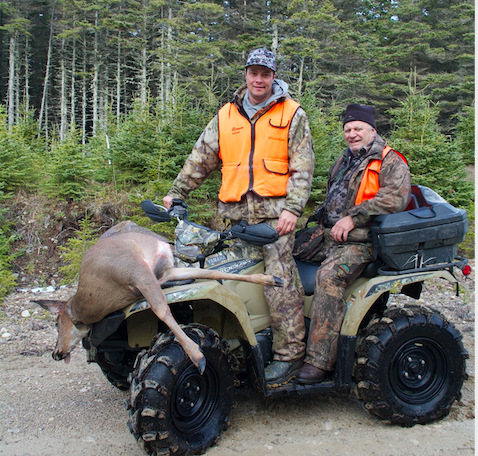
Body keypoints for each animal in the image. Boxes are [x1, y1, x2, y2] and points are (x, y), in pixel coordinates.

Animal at [33, 221, 280, 374]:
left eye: (57, 323)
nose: (56, 353)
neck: (101, 296)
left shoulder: (137, 270)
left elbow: (161, 309)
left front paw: (197, 356)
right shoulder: (160, 275)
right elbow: (211, 274)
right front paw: (270, 279)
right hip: (167, 270)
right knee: (208, 271)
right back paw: (272, 278)